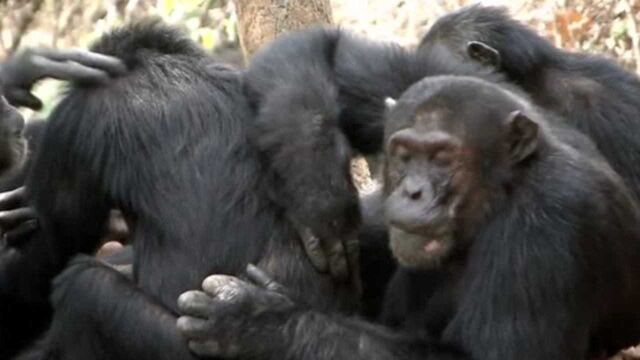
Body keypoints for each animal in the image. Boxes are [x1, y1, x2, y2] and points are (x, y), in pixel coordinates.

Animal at [176, 74, 640, 358]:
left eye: (442, 159)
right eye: (403, 154)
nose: (413, 191)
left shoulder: (548, 230)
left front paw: (255, 321)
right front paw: (315, 200)